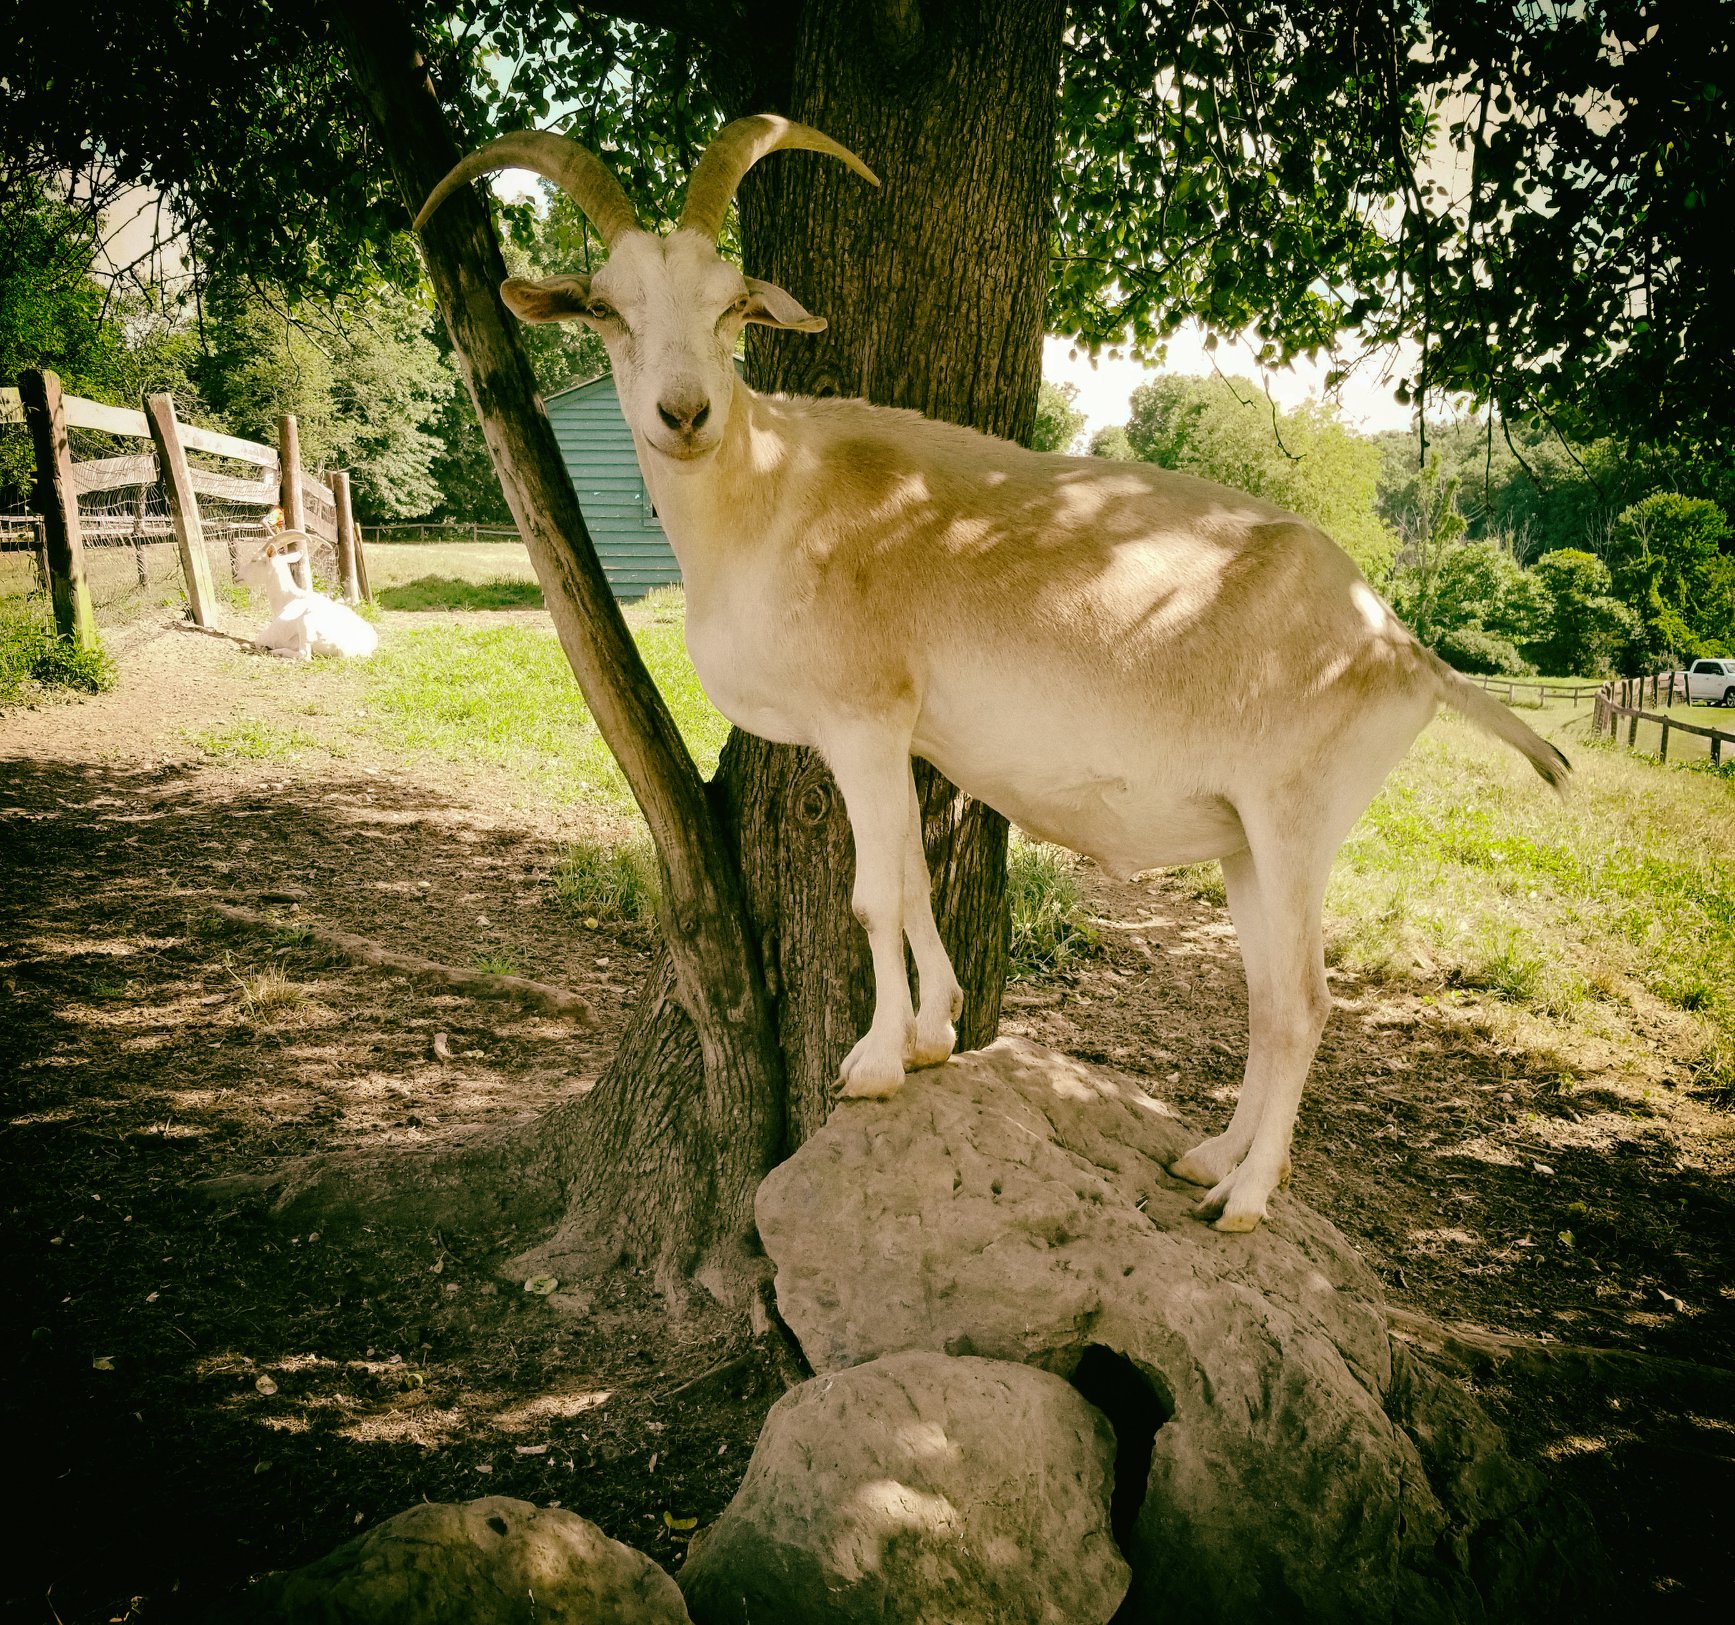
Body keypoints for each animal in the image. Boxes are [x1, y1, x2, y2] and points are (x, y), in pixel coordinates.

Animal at [241, 534, 376, 655]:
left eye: (254, 560)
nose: (237, 576)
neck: (289, 598)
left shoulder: (271, 634)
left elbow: (258, 641)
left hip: (305, 623)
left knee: (304, 654)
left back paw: (274, 651)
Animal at [419, 114, 1575, 1227]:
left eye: (732, 304)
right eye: (606, 309)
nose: (684, 412)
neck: (774, 491)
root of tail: (1401, 645)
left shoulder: (861, 718)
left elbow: (872, 894)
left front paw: (874, 1062)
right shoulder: (902, 735)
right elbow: (914, 878)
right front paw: (933, 1034)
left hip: (1295, 823)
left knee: (1301, 1004)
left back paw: (1244, 1202)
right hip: (1247, 841)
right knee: (1261, 998)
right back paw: (1209, 1156)